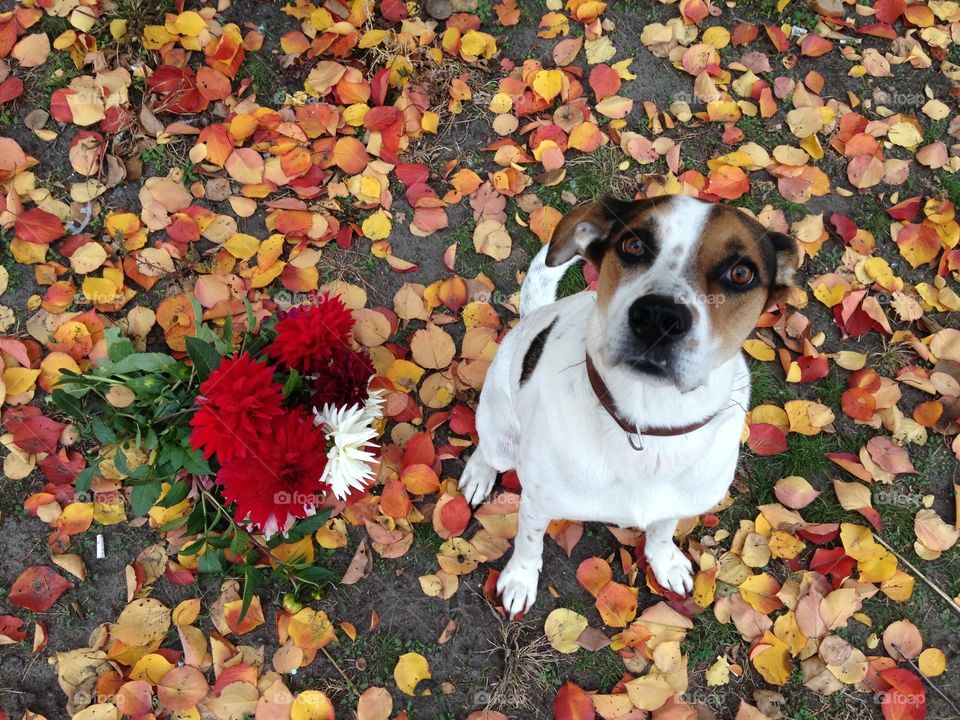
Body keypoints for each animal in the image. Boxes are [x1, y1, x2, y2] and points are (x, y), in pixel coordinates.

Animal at [462, 194, 800, 616]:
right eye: (633, 244)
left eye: (742, 273)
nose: (658, 317)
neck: (648, 423)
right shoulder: (538, 501)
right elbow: (528, 541)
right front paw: (520, 579)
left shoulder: (676, 503)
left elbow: (663, 530)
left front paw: (665, 561)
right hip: (501, 430)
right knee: (488, 449)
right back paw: (479, 474)